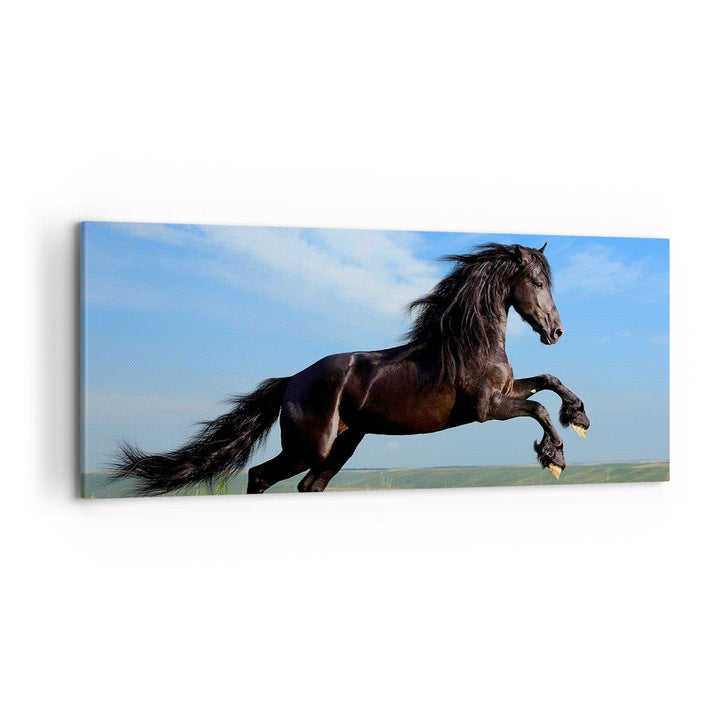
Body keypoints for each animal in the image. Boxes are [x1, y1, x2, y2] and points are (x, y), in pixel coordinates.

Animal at [114, 242, 590, 495]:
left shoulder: (507, 391)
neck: (469, 345)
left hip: (342, 445)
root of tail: (291, 381)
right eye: (538, 282)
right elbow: (539, 409)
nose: (556, 331)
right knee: (259, 475)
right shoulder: (487, 408)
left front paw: (579, 418)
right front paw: (555, 456)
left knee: (308, 486)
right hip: (310, 447)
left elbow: (548, 381)